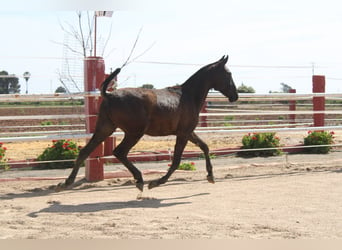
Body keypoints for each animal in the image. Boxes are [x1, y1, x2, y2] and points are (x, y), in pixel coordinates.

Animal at [60, 55, 238, 191]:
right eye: (228, 74)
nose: (235, 96)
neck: (188, 96)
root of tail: (109, 95)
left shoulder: (188, 132)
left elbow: (205, 147)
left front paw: (211, 176)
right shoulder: (183, 134)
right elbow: (176, 161)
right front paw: (157, 182)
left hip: (105, 128)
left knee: (85, 151)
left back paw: (66, 182)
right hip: (134, 132)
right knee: (119, 152)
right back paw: (139, 180)